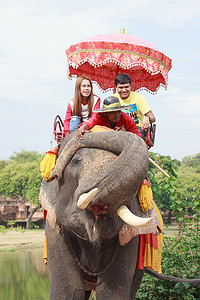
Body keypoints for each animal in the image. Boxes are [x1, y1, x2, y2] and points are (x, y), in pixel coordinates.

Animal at [39, 129, 160, 300]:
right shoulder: (53, 225)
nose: (82, 134)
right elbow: (69, 289)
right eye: (76, 161)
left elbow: (111, 291)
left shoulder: (131, 237)